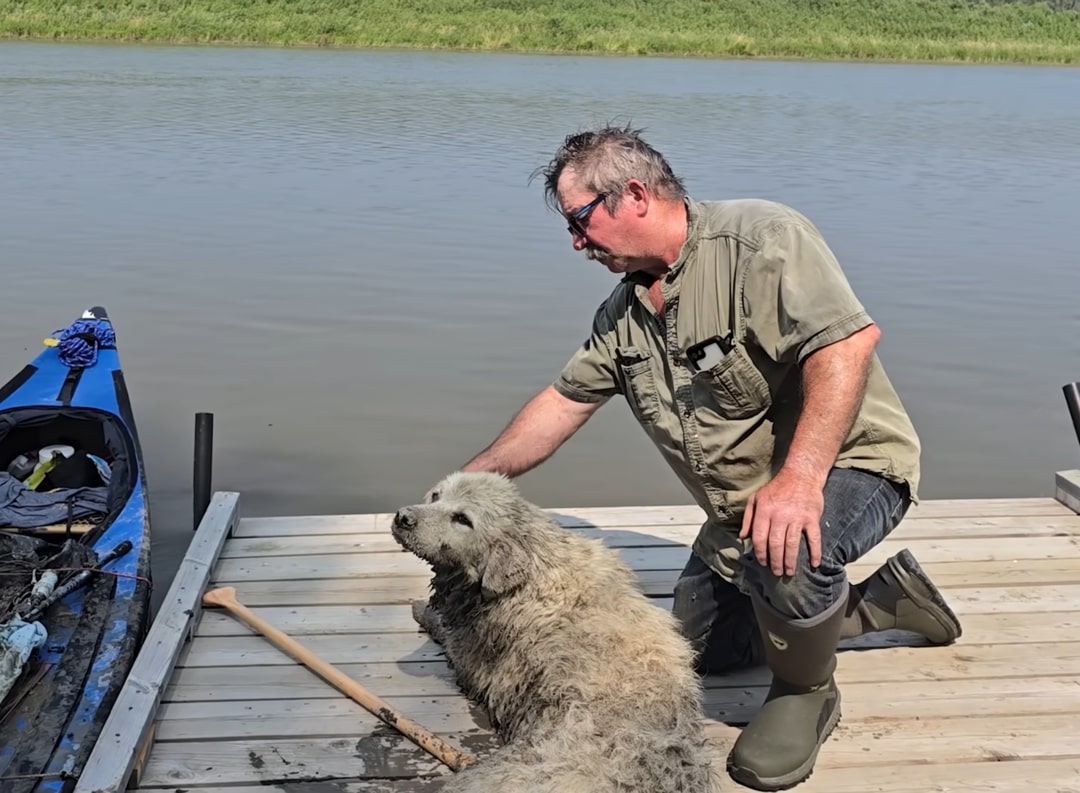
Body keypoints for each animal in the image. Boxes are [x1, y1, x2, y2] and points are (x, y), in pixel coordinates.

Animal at [390, 471, 725, 793]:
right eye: (436, 496)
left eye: (462, 519)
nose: (402, 517)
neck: (531, 566)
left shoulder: (469, 651)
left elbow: (442, 629)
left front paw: (422, 610)